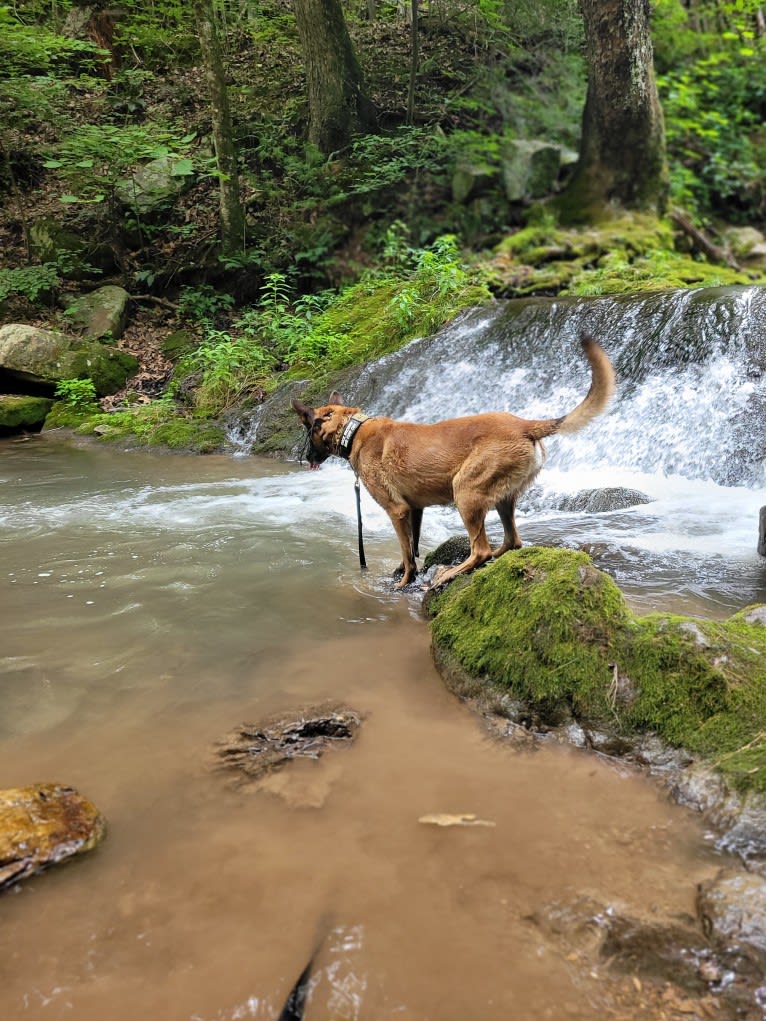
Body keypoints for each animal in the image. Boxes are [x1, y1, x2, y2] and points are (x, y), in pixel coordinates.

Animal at [294, 334, 616, 588]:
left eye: (307, 431)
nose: (305, 458)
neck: (354, 429)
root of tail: (524, 425)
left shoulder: (397, 510)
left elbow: (406, 551)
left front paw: (404, 581)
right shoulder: (415, 510)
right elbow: (411, 547)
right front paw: (402, 571)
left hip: (465, 492)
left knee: (481, 550)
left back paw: (451, 573)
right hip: (502, 498)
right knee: (511, 541)